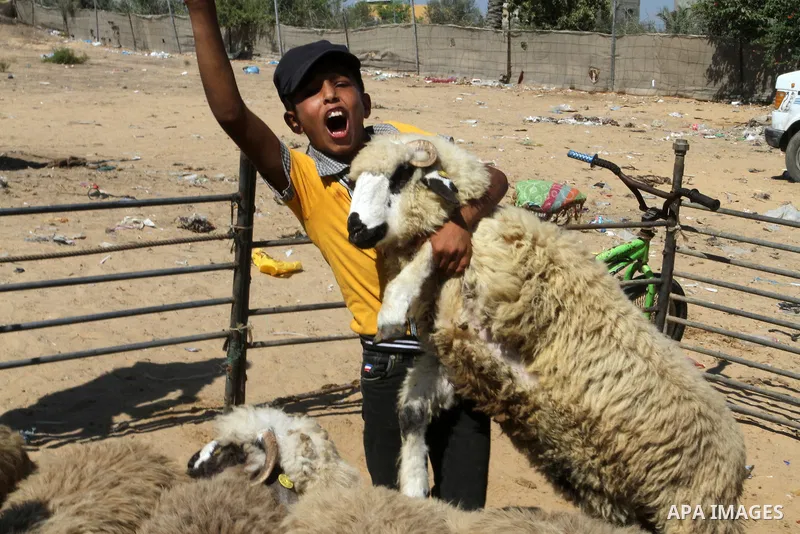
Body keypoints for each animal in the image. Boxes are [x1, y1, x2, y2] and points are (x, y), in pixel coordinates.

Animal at [345, 134, 748, 534]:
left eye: (401, 174)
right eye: (354, 181)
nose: (355, 229)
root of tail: (736, 470)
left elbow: (433, 246)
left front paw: (391, 309)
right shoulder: (457, 350)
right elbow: (411, 411)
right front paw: (413, 488)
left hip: (691, 511)